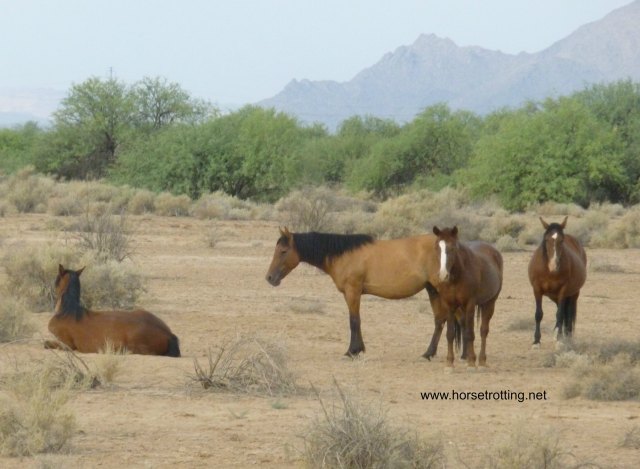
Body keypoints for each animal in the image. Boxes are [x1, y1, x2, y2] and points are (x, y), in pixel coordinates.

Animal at [265, 227, 445, 357]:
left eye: (283, 251)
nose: (270, 278)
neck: (344, 255)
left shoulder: (352, 291)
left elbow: (354, 321)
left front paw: (352, 351)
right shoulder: (350, 293)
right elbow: (356, 320)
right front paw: (359, 349)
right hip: (432, 290)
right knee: (439, 321)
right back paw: (429, 353)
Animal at [429, 226, 503, 368]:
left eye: (452, 248)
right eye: (436, 247)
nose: (443, 275)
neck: (457, 276)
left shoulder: (470, 304)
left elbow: (470, 333)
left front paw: (472, 361)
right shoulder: (449, 305)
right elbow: (450, 334)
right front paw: (449, 363)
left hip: (490, 303)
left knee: (483, 330)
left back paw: (481, 360)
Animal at [528, 216, 587, 346]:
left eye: (562, 240)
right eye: (546, 239)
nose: (554, 265)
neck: (550, 272)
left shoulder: (563, 291)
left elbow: (559, 315)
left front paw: (559, 339)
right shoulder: (537, 289)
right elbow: (538, 314)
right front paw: (536, 341)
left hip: (573, 294)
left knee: (567, 315)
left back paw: (566, 337)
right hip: (554, 296)